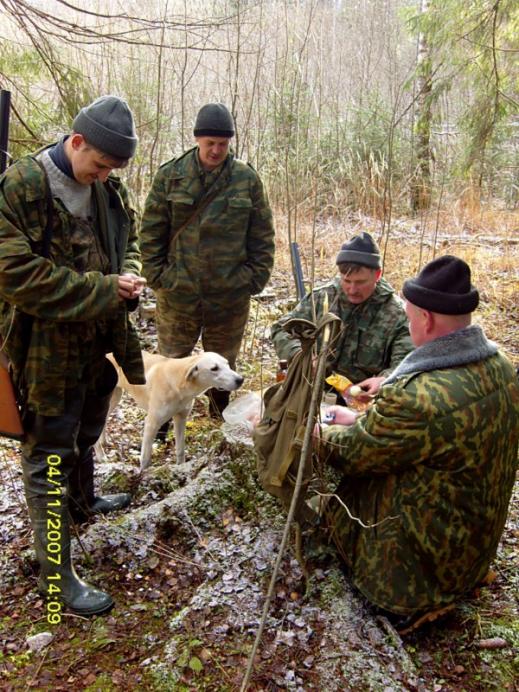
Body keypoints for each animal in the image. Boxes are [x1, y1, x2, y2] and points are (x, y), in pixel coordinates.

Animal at [94, 352, 245, 470]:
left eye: (227, 363)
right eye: (214, 368)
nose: (240, 379)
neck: (178, 382)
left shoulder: (181, 419)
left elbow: (180, 449)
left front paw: (181, 468)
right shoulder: (151, 423)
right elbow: (145, 457)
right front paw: (142, 474)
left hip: (114, 398)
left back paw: (104, 441)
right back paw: (101, 455)